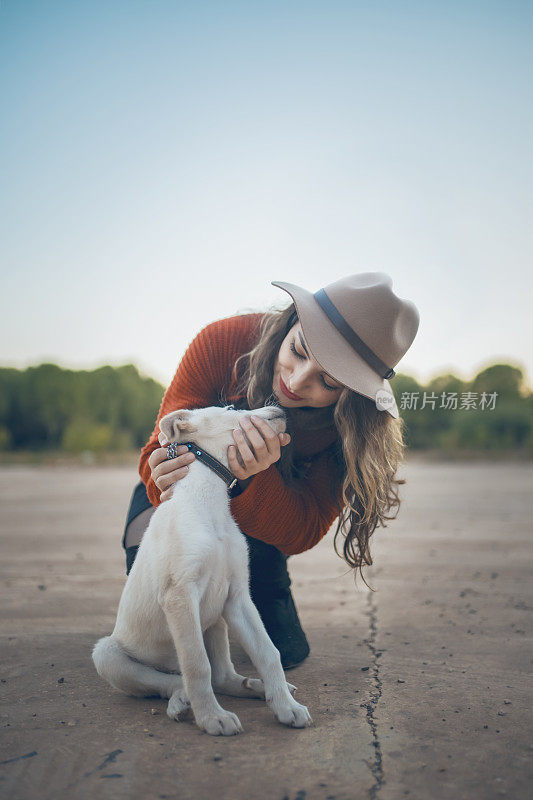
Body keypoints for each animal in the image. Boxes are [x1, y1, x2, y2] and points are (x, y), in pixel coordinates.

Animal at [92, 406, 312, 736]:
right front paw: (212, 718)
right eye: (230, 409)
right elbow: (197, 665)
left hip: (215, 621)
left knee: (222, 677)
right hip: (108, 654)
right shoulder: (179, 595)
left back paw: (258, 687)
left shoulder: (237, 596)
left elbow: (268, 652)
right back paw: (181, 699)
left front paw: (287, 707)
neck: (209, 502)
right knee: (171, 679)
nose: (280, 409)